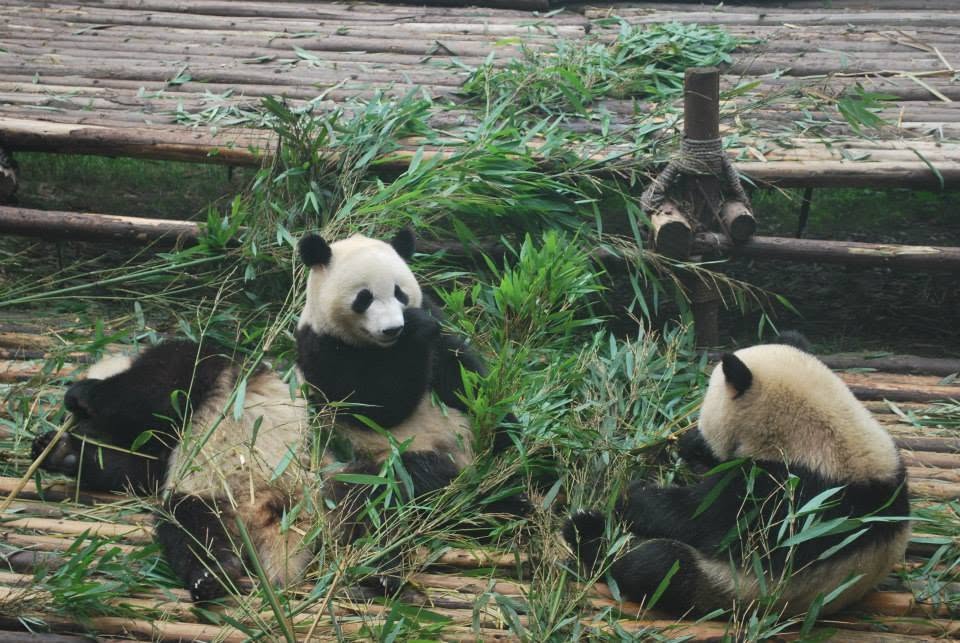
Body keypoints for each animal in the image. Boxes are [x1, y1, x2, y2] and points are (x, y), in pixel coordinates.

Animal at [31, 339, 312, 602]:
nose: (80, 430)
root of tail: (260, 517)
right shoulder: (161, 448)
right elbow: (138, 470)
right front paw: (59, 451)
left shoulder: (190, 365)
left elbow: (152, 391)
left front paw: (80, 395)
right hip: (211, 502)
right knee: (188, 528)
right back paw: (212, 576)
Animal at [295, 229, 523, 541]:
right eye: (364, 298)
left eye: (399, 292)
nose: (393, 328)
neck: (383, 347)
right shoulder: (321, 349)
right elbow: (376, 405)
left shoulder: (431, 314)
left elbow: (459, 371)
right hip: (386, 455)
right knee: (399, 484)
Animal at [564, 341, 910, 618]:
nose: (696, 439)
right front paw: (689, 447)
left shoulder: (797, 499)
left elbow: (708, 520)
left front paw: (634, 496)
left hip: (724, 585)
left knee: (656, 565)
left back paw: (584, 531)